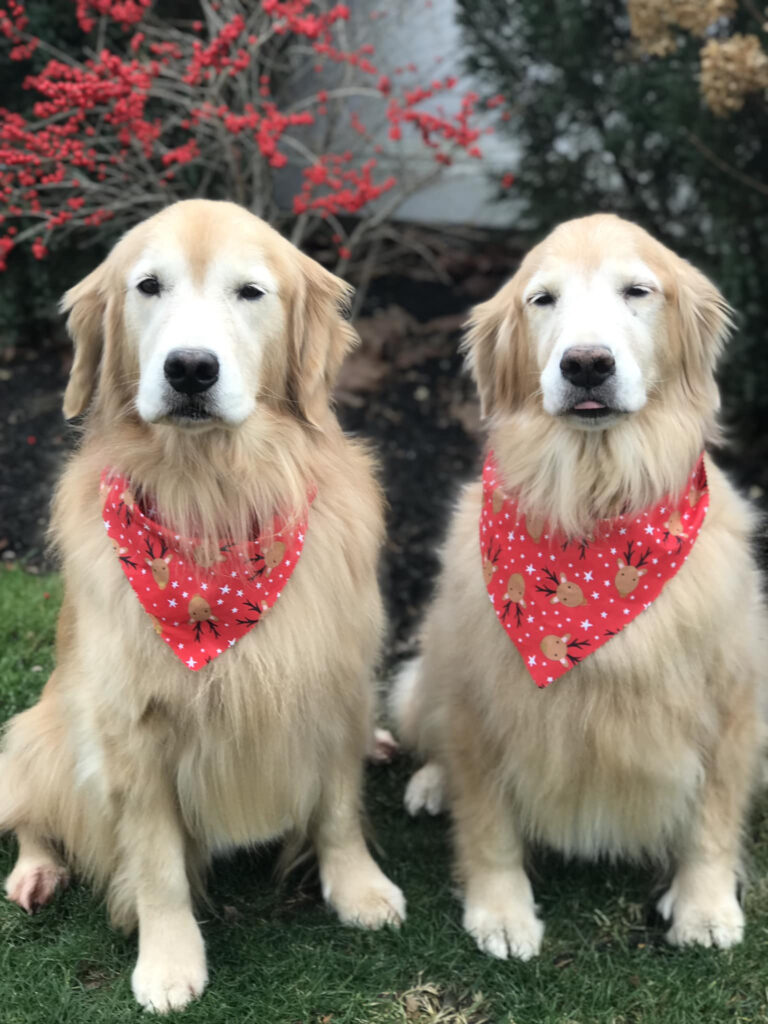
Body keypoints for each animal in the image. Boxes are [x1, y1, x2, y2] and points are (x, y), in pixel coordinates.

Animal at [0, 199, 405, 1012]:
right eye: (147, 286)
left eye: (250, 291)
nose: (190, 368)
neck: (213, 501)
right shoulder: (131, 729)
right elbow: (156, 860)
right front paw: (168, 959)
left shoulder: (335, 684)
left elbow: (339, 806)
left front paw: (358, 888)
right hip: (42, 729)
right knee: (29, 807)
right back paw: (35, 870)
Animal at [392, 213, 766, 961]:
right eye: (543, 299)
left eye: (637, 291)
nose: (586, 364)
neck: (592, 514)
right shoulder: (481, 698)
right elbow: (488, 823)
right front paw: (501, 911)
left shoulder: (734, 699)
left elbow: (713, 817)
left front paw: (705, 904)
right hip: (426, 675)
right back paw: (430, 783)